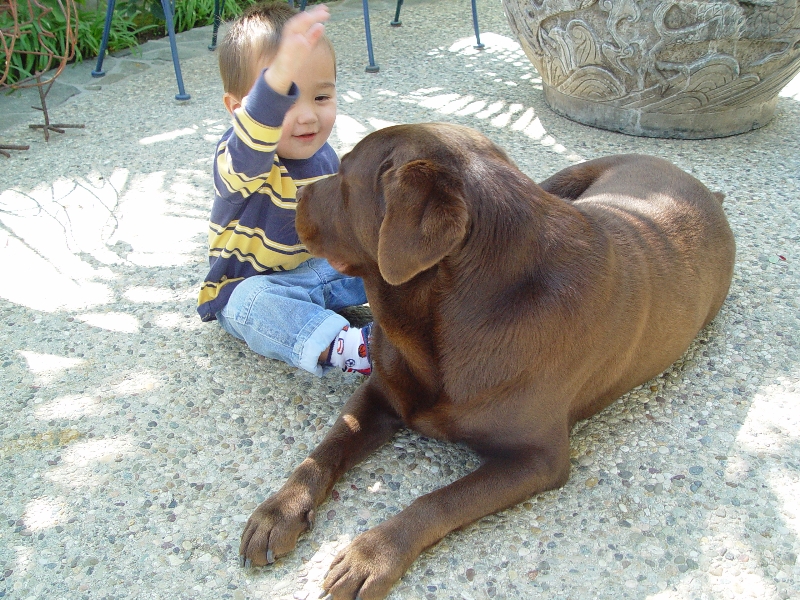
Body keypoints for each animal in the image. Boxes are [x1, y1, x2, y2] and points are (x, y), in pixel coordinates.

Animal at [239, 123, 735, 599]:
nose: (298, 193)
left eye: (344, 176)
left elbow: (440, 500)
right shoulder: (381, 392)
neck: (445, 317)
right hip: (561, 178)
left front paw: (371, 555)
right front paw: (277, 511)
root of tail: (704, 189)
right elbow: (326, 448)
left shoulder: (537, 458)